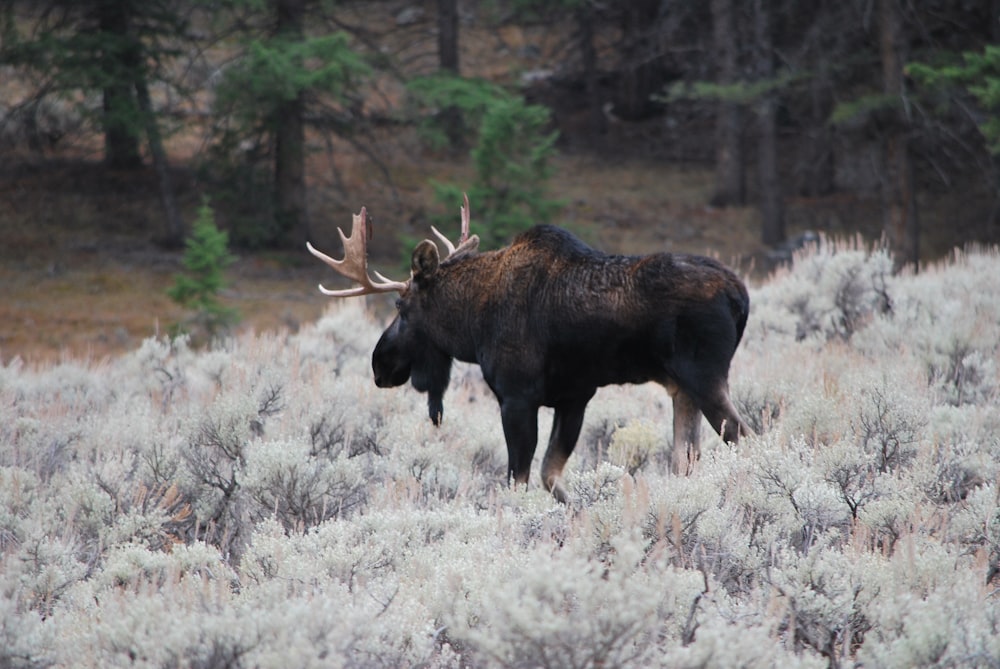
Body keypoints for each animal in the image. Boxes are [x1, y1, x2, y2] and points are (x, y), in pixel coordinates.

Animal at [306, 198, 752, 500]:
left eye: (400, 306)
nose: (380, 365)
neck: (472, 325)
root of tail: (740, 294)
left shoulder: (517, 397)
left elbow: (516, 481)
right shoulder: (574, 397)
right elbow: (549, 476)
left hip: (704, 375)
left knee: (744, 436)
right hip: (682, 388)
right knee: (686, 457)